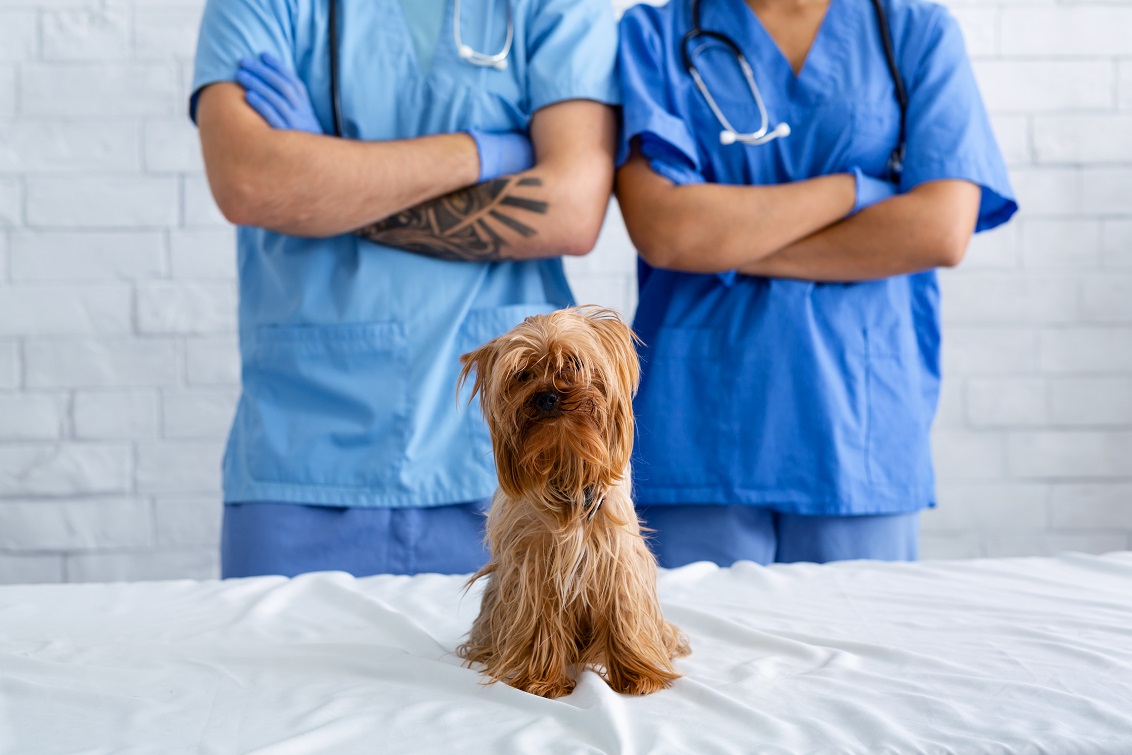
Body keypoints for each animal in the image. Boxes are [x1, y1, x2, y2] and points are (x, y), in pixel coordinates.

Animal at [452, 303, 683, 701]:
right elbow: (540, 620)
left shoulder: (617, 558)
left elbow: (625, 613)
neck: (565, 462)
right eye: (523, 375)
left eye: (573, 362)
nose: (547, 396)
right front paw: (542, 681)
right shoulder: (534, 564)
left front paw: (639, 675)